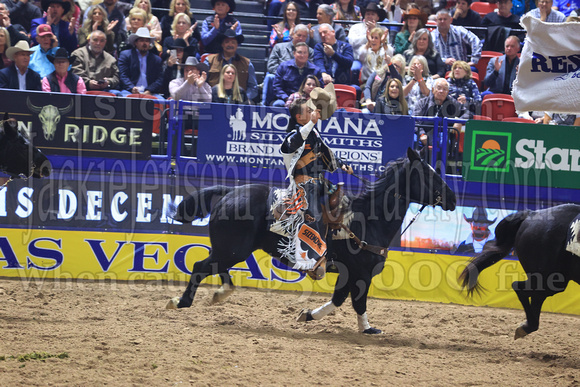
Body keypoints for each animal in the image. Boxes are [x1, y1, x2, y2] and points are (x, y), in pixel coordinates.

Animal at [165, 149, 456, 334]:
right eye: (428, 174)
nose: (452, 198)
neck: (369, 219)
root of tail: (231, 191)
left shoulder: (350, 273)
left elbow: (340, 300)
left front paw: (311, 315)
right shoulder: (360, 273)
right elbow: (356, 301)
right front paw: (366, 328)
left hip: (231, 249)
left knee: (215, 267)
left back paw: (221, 293)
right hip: (233, 249)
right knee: (202, 267)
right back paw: (181, 302)